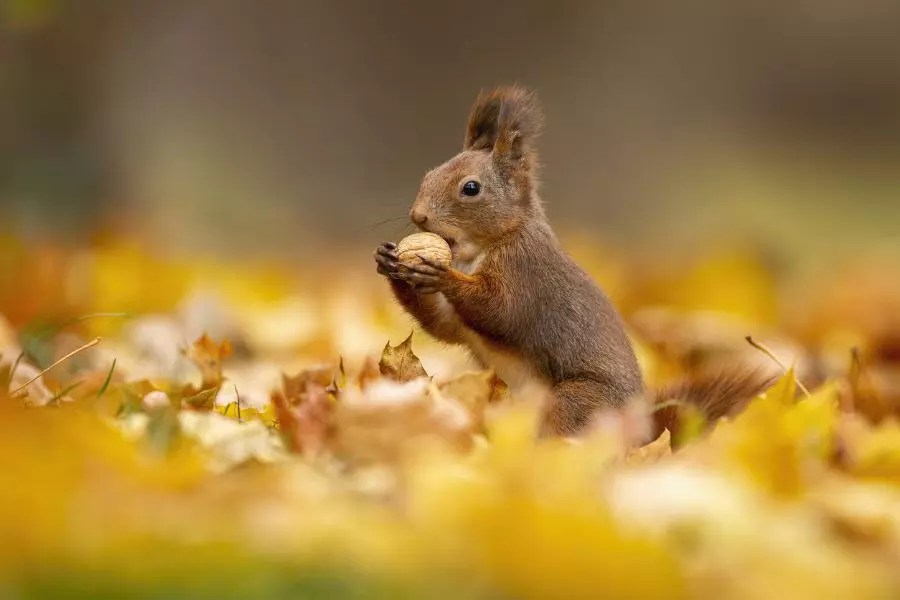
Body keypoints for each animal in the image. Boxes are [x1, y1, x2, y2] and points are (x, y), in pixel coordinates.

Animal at [375, 85, 772, 439]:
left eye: (471, 188)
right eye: (428, 175)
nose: (418, 215)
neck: (482, 250)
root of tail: (642, 438)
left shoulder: (527, 272)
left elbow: (500, 310)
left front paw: (441, 274)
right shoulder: (460, 320)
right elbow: (444, 324)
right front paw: (389, 262)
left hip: (578, 401)